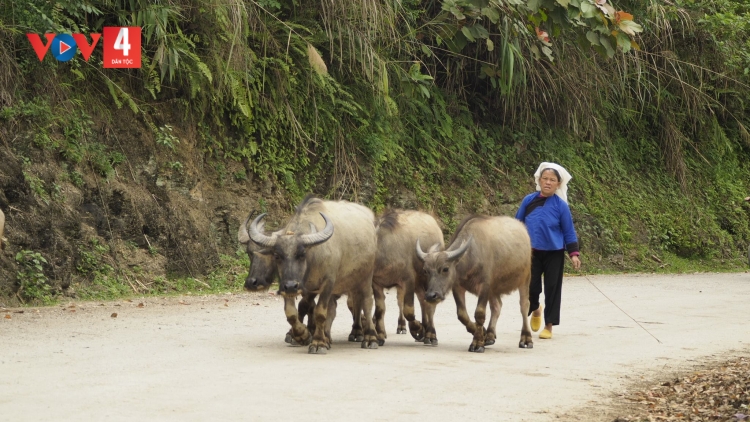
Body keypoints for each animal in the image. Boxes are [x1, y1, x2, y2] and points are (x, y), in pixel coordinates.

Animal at [248, 196, 378, 354]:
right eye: (277, 256)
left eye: (302, 254)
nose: (291, 286)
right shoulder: (290, 285)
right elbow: (292, 312)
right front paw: (302, 335)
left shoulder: (328, 283)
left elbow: (320, 312)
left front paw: (318, 343)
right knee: (335, 308)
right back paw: (328, 336)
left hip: (365, 277)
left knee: (366, 303)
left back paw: (369, 337)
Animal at [418, 216, 536, 352]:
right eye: (425, 270)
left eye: (445, 269)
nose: (431, 296)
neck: (471, 257)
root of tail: (523, 229)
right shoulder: (458, 286)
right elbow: (462, 314)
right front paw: (481, 333)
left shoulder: (485, 286)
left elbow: (479, 313)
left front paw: (477, 343)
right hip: (494, 289)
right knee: (497, 306)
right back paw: (489, 335)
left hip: (525, 279)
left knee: (524, 306)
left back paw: (526, 339)